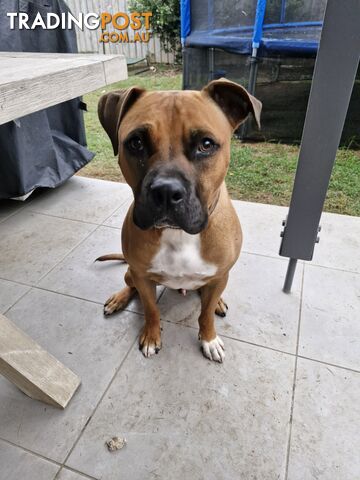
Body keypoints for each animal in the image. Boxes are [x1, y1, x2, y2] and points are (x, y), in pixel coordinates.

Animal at [97, 79, 262, 362]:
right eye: (136, 142)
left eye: (206, 144)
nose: (165, 191)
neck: (179, 235)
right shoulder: (143, 277)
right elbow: (151, 309)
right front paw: (151, 335)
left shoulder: (219, 277)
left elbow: (204, 314)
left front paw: (209, 338)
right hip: (132, 273)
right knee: (130, 284)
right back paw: (119, 299)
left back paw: (218, 303)